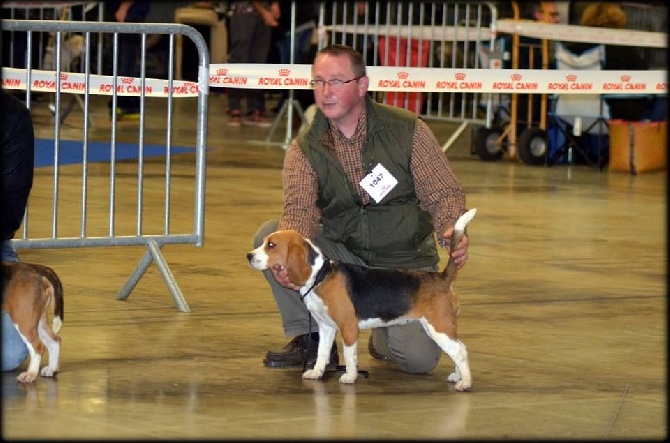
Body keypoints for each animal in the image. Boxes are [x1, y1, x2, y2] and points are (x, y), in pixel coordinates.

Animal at [248, 209, 478, 392]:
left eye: (271, 245)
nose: (249, 256)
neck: (320, 275)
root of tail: (442, 277)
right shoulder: (325, 327)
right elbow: (322, 353)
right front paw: (316, 372)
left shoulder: (348, 327)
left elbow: (350, 356)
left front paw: (350, 377)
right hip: (436, 329)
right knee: (459, 349)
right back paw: (457, 376)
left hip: (439, 327)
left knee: (460, 351)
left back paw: (465, 382)